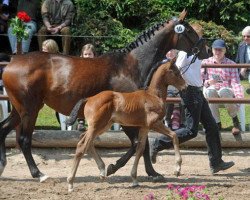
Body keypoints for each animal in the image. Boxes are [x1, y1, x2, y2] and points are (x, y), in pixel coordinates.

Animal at [66, 58, 186, 191]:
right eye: (176, 72)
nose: (185, 86)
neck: (153, 96)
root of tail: (89, 98)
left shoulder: (144, 127)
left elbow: (140, 148)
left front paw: (134, 179)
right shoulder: (154, 123)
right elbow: (174, 135)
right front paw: (177, 169)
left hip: (103, 126)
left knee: (86, 141)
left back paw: (102, 171)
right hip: (96, 126)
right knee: (82, 145)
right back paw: (70, 183)